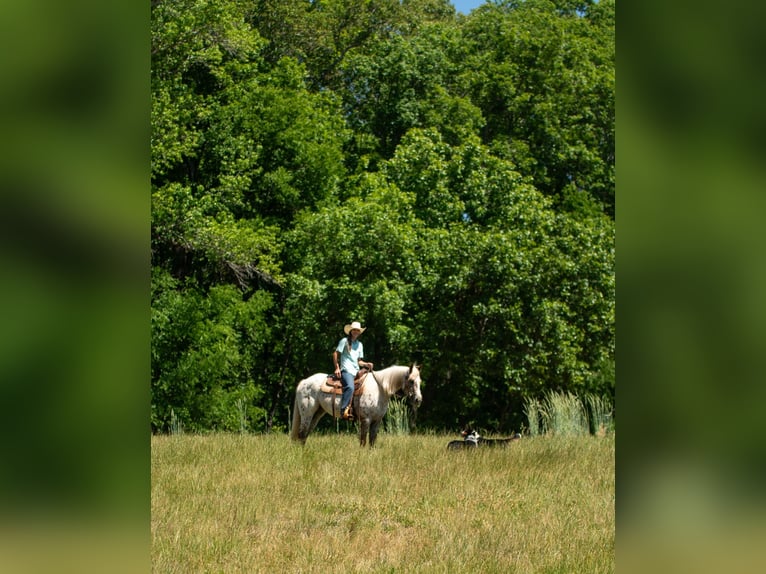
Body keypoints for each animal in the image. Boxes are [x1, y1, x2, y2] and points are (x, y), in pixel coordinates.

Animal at [290, 364, 423, 447]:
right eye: (411, 381)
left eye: (420, 381)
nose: (418, 399)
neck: (380, 388)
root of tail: (304, 382)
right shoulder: (366, 420)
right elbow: (363, 440)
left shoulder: (377, 421)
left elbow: (372, 441)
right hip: (307, 413)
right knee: (302, 433)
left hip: (317, 413)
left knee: (305, 434)